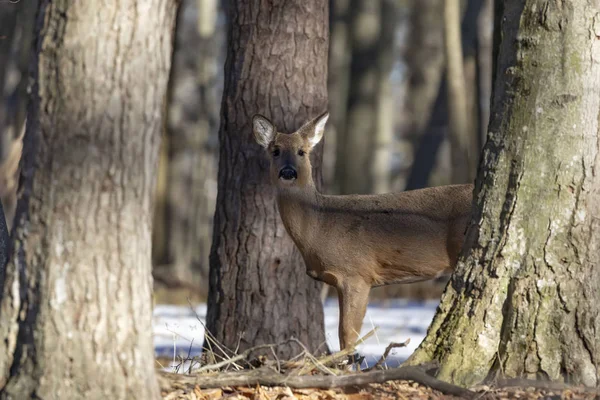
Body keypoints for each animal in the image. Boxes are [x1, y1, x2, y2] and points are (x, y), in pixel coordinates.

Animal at [252, 112, 474, 354]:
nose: (288, 171)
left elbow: (348, 337)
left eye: (302, 151)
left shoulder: (356, 273)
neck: (319, 226)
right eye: (275, 150)